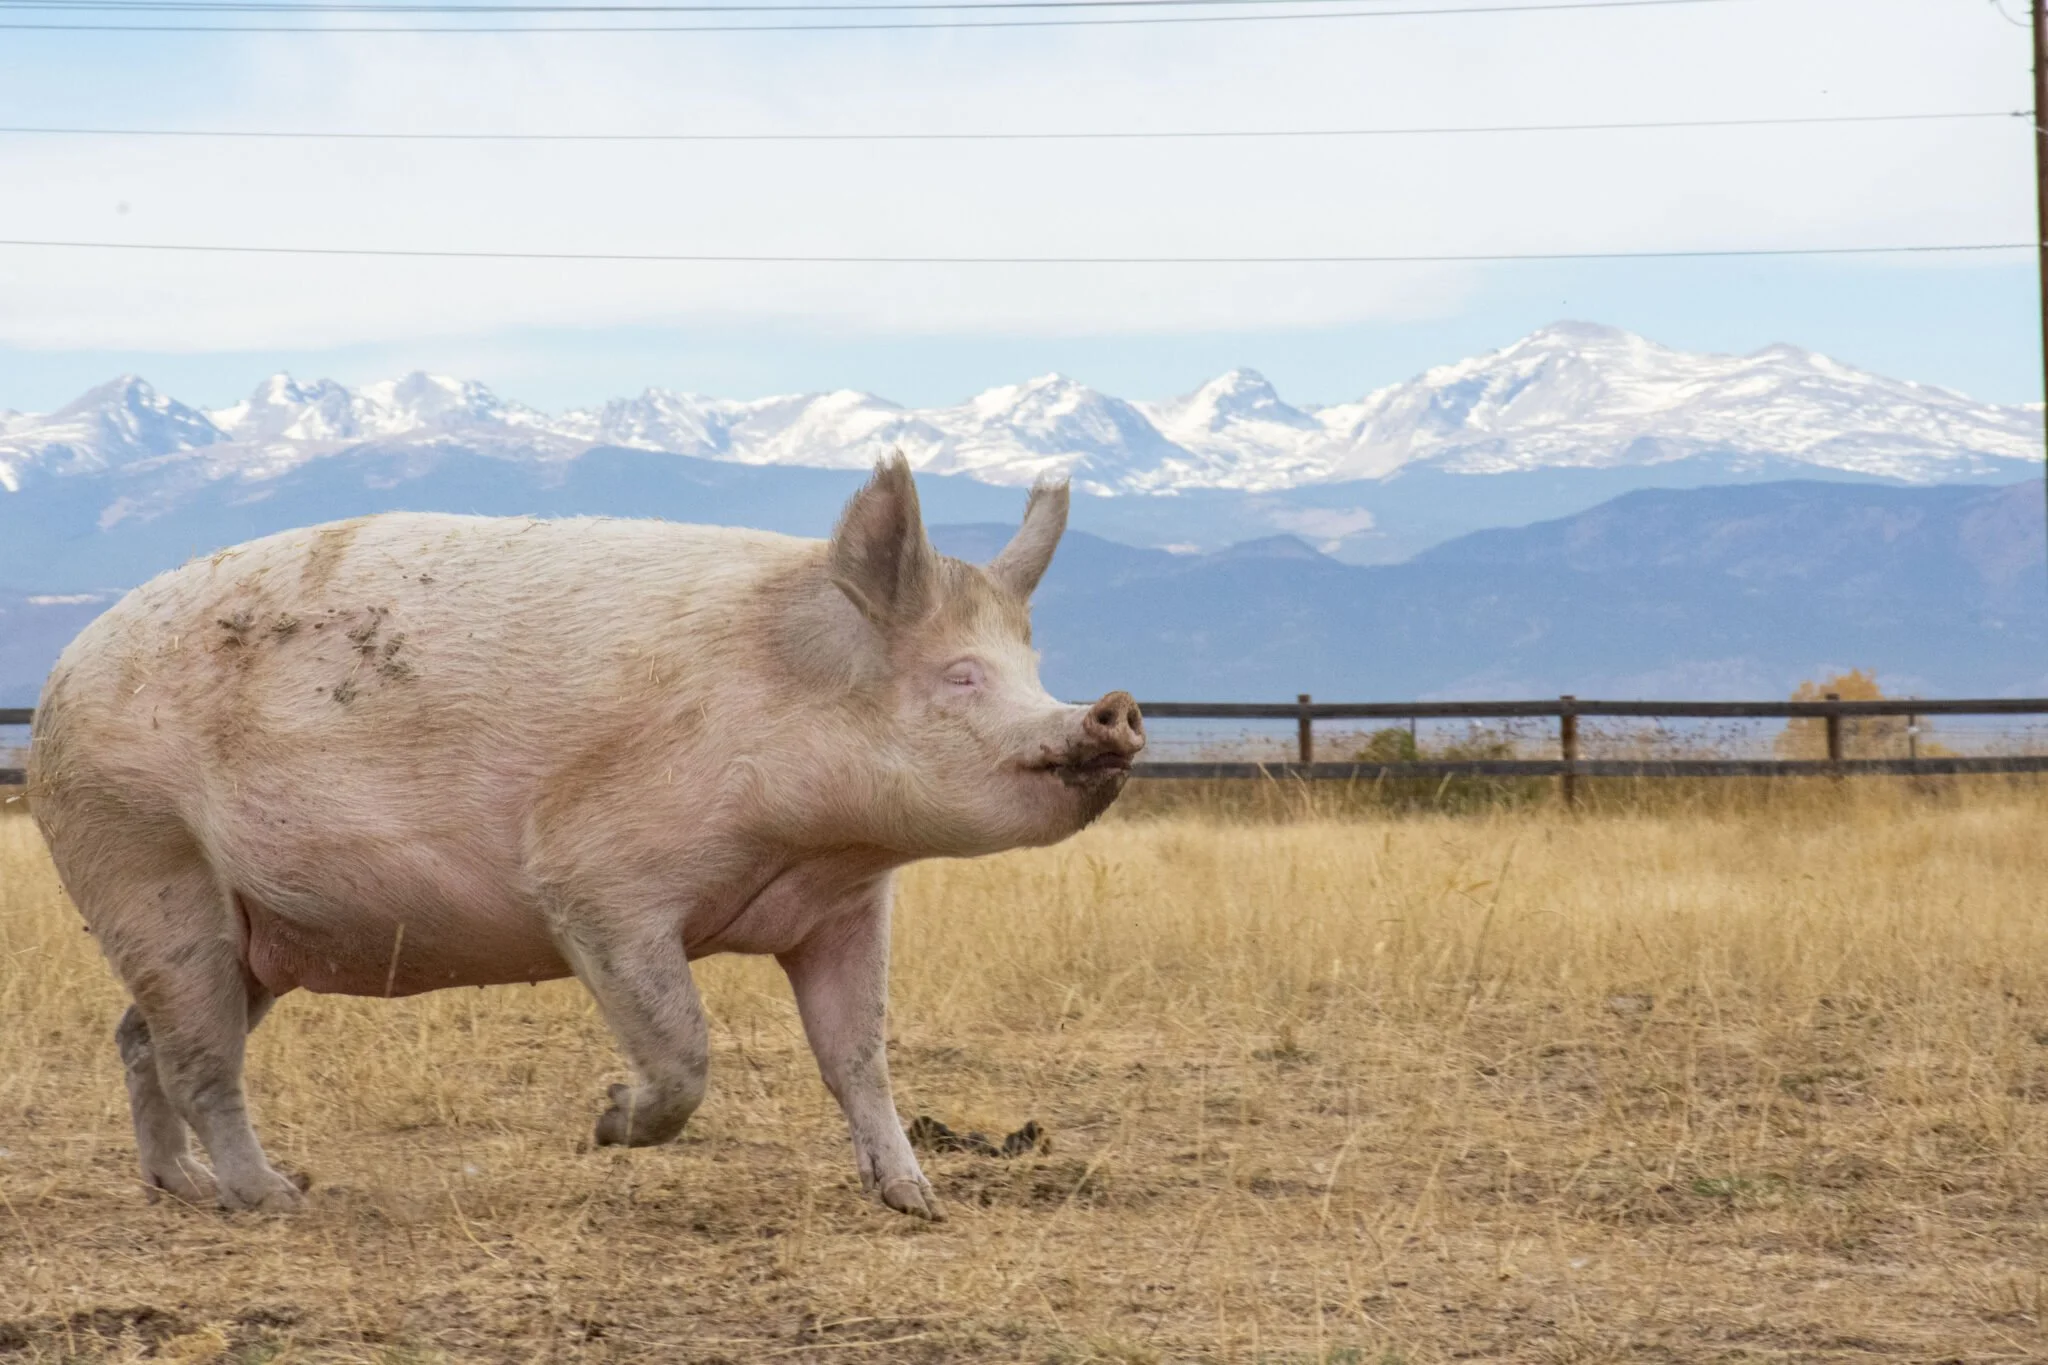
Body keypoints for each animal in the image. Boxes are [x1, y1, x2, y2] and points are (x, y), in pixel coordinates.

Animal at [26, 455, 1144, 1221]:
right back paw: (276, 1195)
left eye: (1031, 665)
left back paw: (179, 1186)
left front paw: (916, 1201)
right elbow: (683, 1043)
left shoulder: (843, 907)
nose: (1114, 709)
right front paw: (605, 1125)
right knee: (198, 1056)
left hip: (251, 935)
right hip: (143, 860)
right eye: (961, 675)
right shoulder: (595, 881)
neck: (813, 841)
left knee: (141, 1038)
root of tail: (59, 677)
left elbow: (858, 1054)